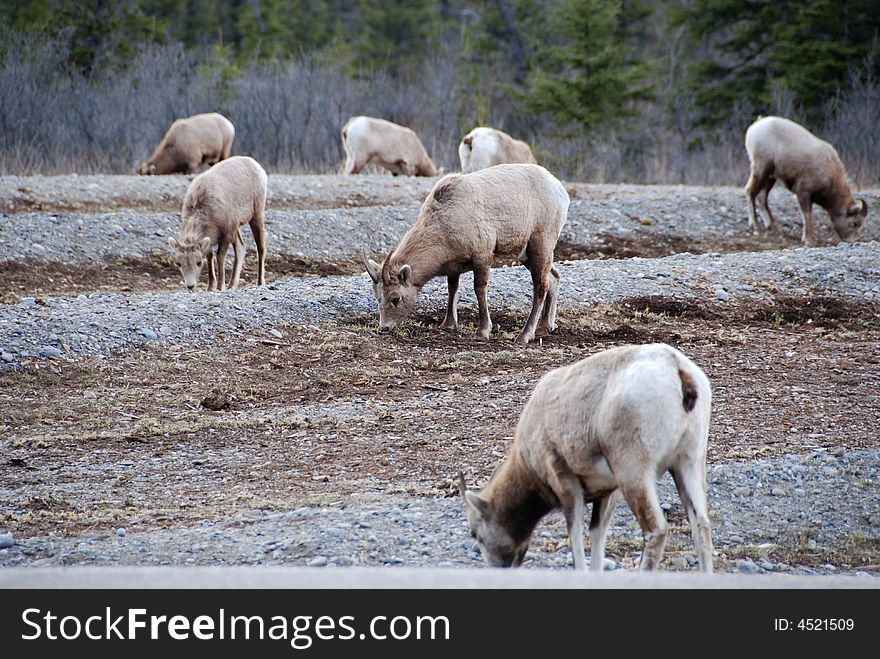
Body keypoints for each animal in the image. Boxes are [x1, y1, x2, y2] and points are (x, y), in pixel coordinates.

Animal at [360, 164, 568, 346]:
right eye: (377, 297)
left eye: (395, 298)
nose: (384, 327)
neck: (445, 224)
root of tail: (560, 190)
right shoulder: (453, 267)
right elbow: (452, 288)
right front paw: (448, 324)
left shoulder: (482, 256)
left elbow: (479, 289)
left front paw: (482, 332)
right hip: (526, 254)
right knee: (554, 277)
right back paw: (545, 327)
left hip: (540, 245)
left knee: (540, 286)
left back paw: (525, 335)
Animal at [744, 114, 868, 246]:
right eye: (854, 223)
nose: (851, 241)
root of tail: (756, 125)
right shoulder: (804, 192)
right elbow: (807, 215)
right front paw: (809, 240)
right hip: (761, 169)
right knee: (750, 191)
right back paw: (755, 226)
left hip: (770, 176)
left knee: (762, 197)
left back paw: (773, 227)